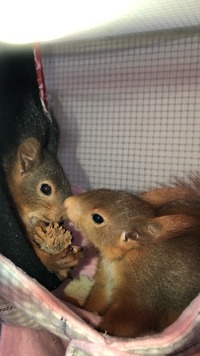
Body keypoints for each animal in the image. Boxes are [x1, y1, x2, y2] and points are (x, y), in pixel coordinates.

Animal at [64, 185, 200, 338]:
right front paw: (82, 308)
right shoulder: (106, 280)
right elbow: (99, 299)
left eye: (97, 218)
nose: (67, 201)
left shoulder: (139, 295)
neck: (126, 256)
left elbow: (126, 320)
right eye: (104, 190)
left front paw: (101, 331)